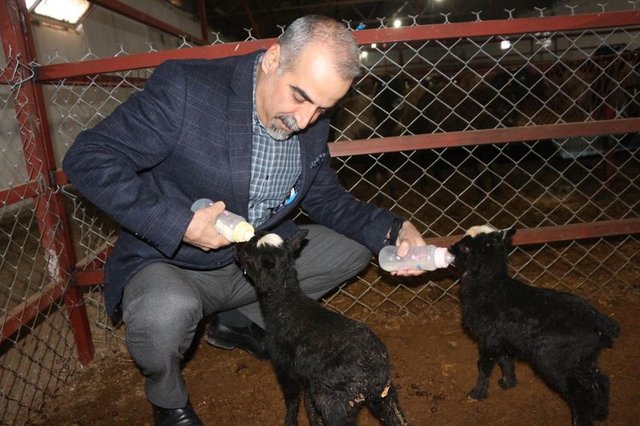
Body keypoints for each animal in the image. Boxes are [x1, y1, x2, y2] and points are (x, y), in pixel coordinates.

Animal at [234, 229, 409, 426]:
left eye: (248, 255)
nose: (236, 247)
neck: (284, 302)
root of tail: (374, 374)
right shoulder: (309, 376)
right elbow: (308, 402)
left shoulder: (283, 364)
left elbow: (292, 399)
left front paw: (290, 421)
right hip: (384, 396)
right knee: (397, 418)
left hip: (336, 401)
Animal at [448, 225, 620, 426]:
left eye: (466, 247)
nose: (450, 249)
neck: (489, 287)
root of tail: (598, 320)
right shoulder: (502, 338)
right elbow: (505, 360)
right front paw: (508, 384)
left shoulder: (489, 338)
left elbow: (484, 366)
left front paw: (476, 394)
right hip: (584, 357)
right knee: (601, 380)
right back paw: (602, 413)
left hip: (556, 359)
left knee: (582, 395)